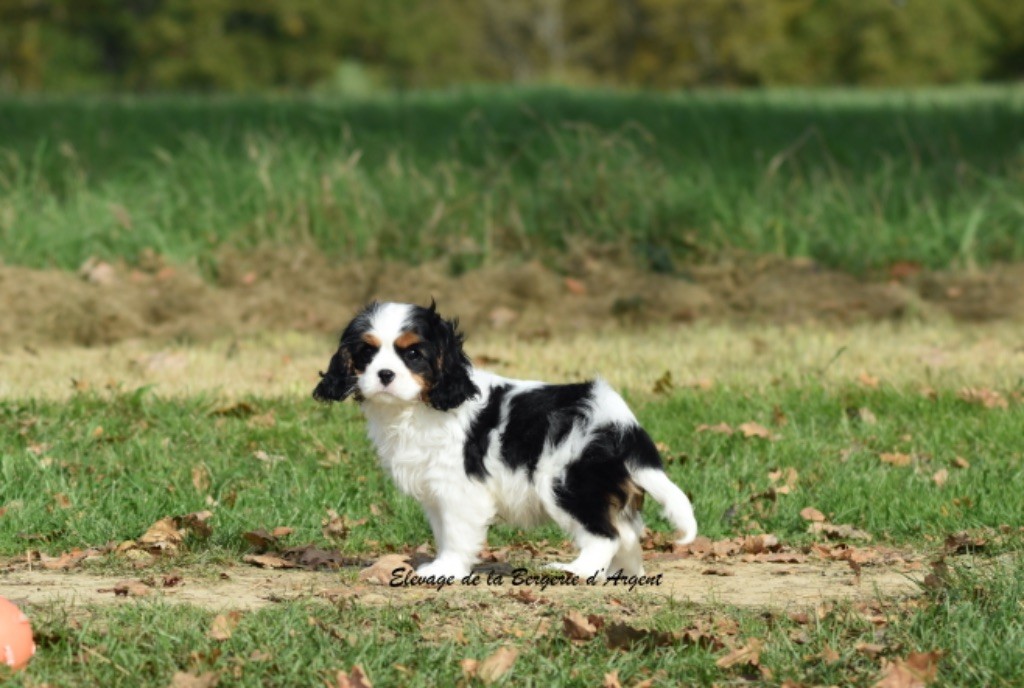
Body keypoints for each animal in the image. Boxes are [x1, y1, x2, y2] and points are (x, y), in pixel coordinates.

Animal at [311, 303, 696, 577]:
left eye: (413, 354)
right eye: (367, 353)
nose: (385, 374)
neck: (418, 407)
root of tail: (624, 423)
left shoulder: (458, 489)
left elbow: (455, 533)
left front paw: (445, 569)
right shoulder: (435, 490)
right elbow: (443, 530)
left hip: (567, 485)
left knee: (606, 536)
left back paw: (575, 571)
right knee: (627, 535)